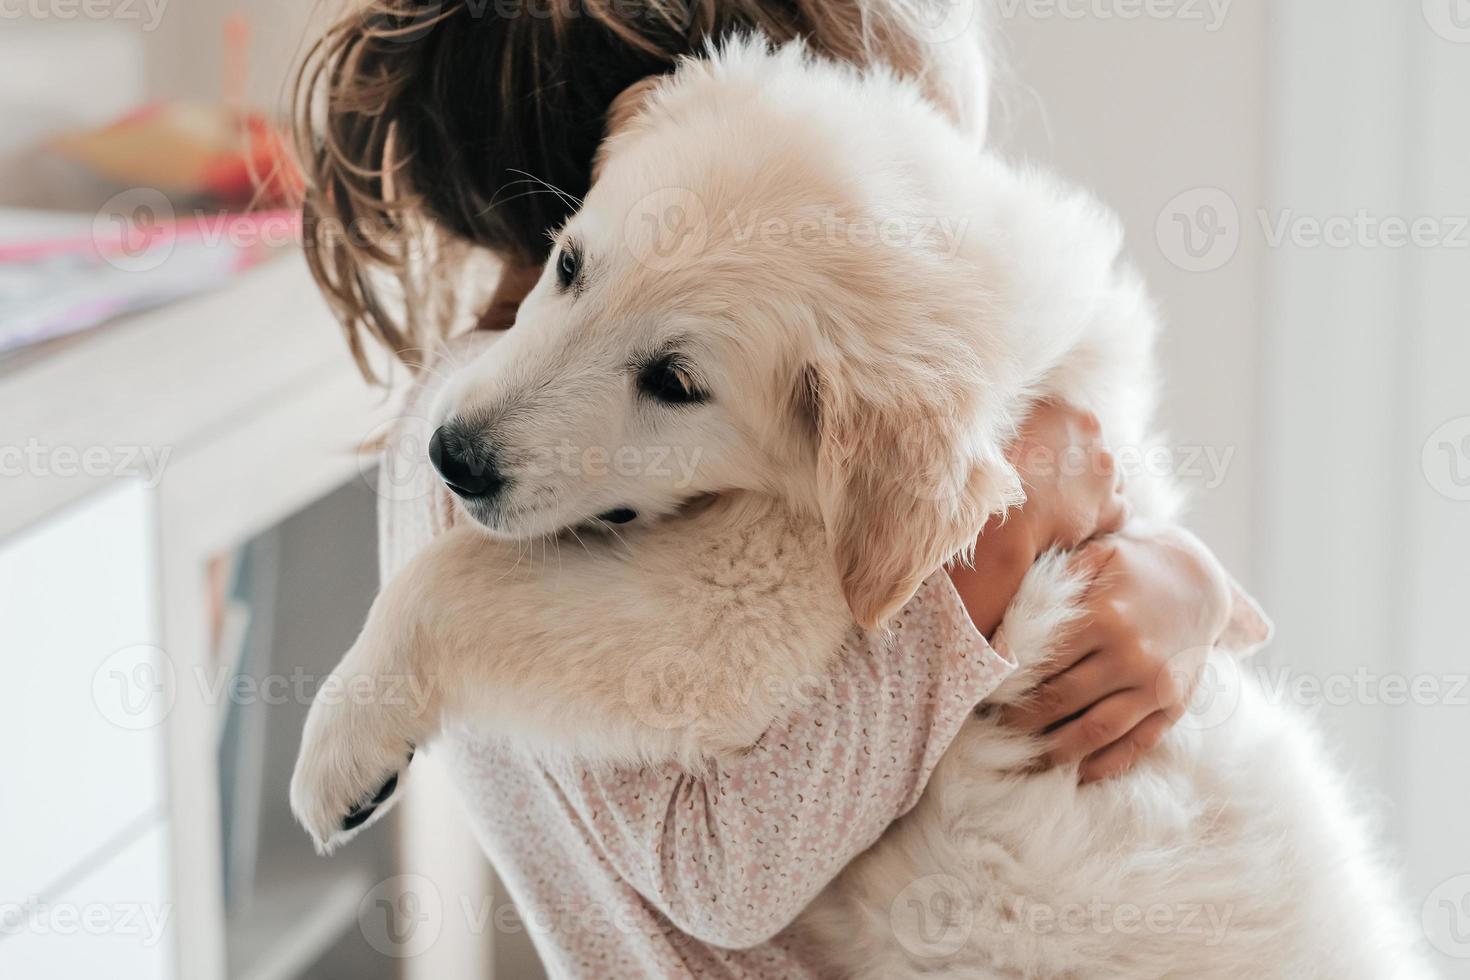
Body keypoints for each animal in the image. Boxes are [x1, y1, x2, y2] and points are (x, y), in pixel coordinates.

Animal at [289, 40, 1434, 980]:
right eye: (570, 265)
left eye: (673, 382)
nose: (451, 459)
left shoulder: (742, 618)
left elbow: (451, 577)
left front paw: (339, 750)